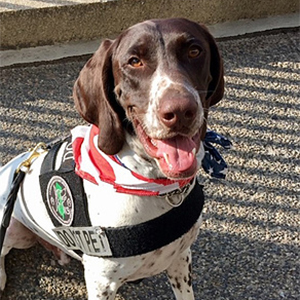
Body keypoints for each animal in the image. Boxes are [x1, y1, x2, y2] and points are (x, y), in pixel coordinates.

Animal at [0, 18, 225, 300]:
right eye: (134, 61)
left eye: (194, 51)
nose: (180, 111)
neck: (156, 186)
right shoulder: (101, 283)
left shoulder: (181, 259)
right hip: (12, 229)